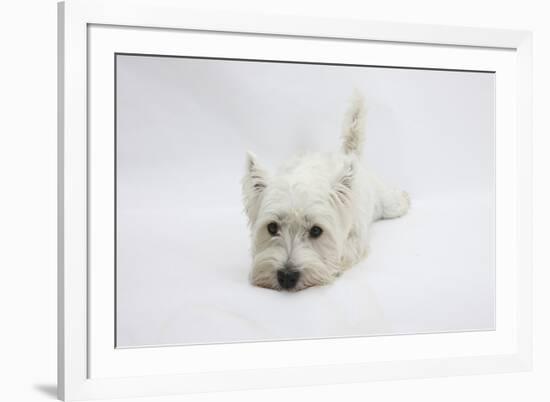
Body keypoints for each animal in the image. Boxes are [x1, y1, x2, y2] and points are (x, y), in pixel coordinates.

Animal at [242, 92, 410, 290]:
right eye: (272, 227)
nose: (287, 277)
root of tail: (350, 154)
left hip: (385, 203)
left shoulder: (356, 238)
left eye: (316, 231)